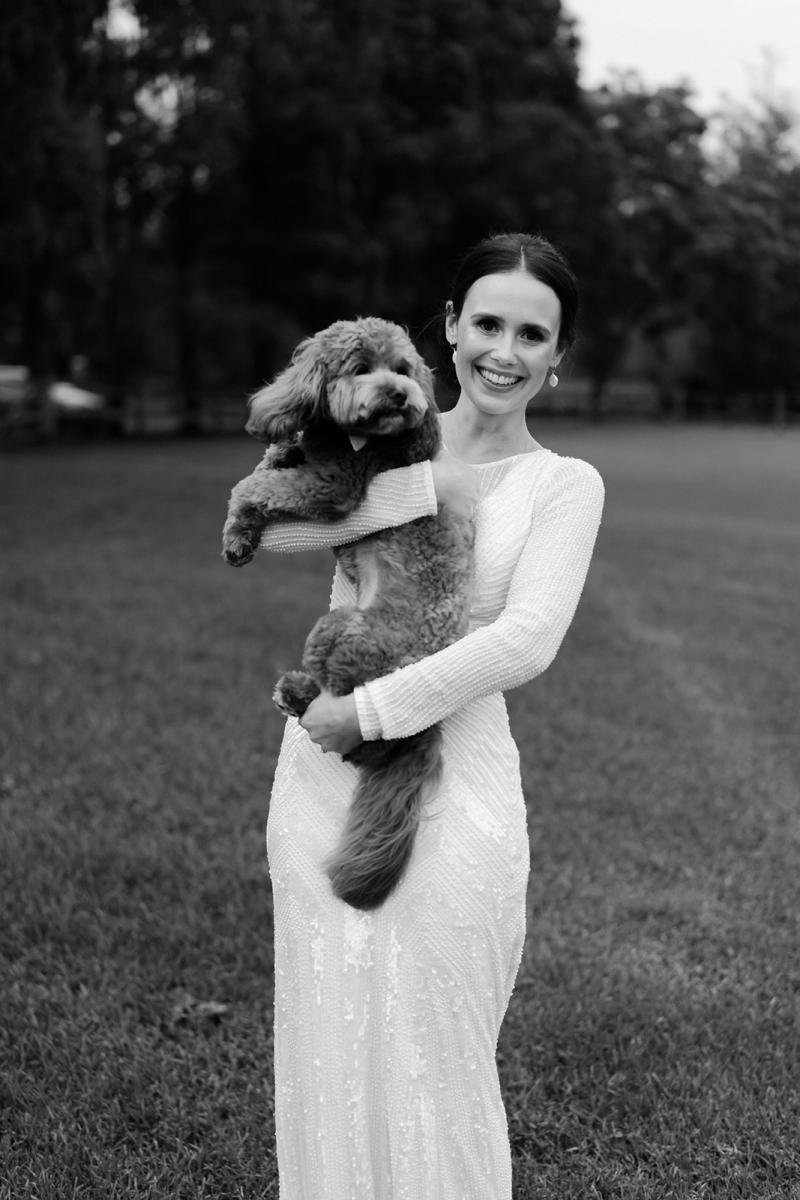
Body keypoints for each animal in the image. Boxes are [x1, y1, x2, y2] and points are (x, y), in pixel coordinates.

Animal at [221, 319, 474, 907]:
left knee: (358, 731)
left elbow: (256, 485)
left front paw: (238, 522)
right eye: (361, 369)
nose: (401, 395)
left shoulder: (334, 485)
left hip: (342, 633)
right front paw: (243, 531)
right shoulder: (311, 454)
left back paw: (300, 695)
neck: (354, 436)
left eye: (402, 370)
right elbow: (276, 458)